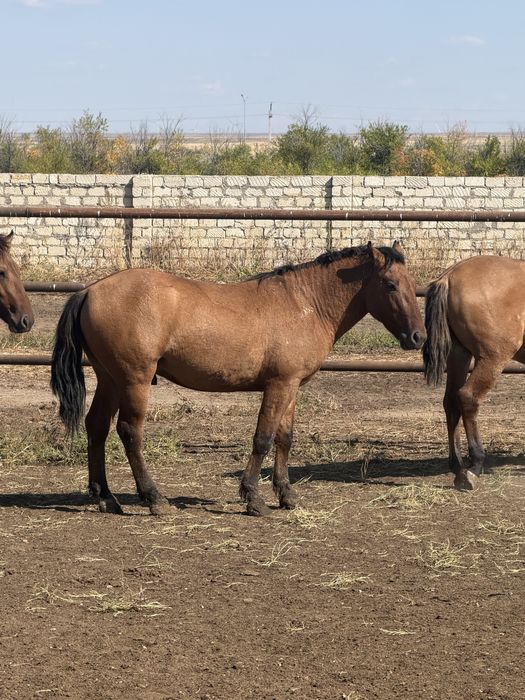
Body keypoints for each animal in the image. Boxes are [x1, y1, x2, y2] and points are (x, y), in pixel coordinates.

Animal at [51, 241, 425, 517]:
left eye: (411, 284)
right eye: (390, 284)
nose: (418, 337)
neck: (304, 303)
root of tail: (89, 291)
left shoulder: (292, 387)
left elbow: (284, 439)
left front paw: (286, 495)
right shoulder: (278, 385)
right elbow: (263, 438)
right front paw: (253, 498)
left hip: (110, 379)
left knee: (97, 426)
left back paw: (105, 497)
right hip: (134, 380)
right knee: (129, 432)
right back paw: (154, 498)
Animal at [423, 254, 525, 490]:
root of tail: (449, 276)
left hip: (458, 356)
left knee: (451, 402)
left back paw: (457, 465)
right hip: (492, 358)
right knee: (468, 397)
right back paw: (473, 468)